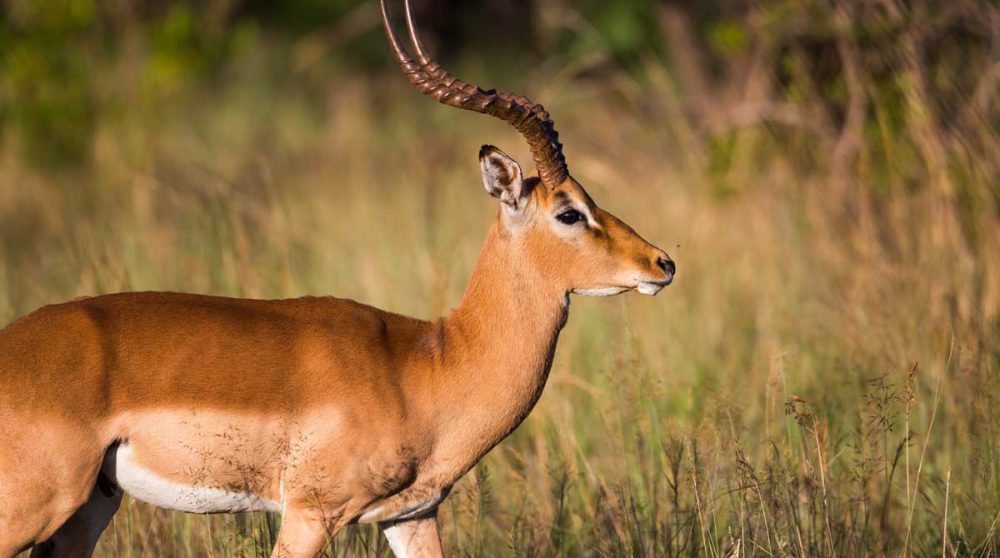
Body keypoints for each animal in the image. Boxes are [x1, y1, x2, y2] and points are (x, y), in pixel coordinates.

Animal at [0, 1, 675, 556]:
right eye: (570, 212)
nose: (662, 264)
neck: (431, 364)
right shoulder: (311, 514)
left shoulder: (411, 515)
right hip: (35, 505)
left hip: (87, 510)